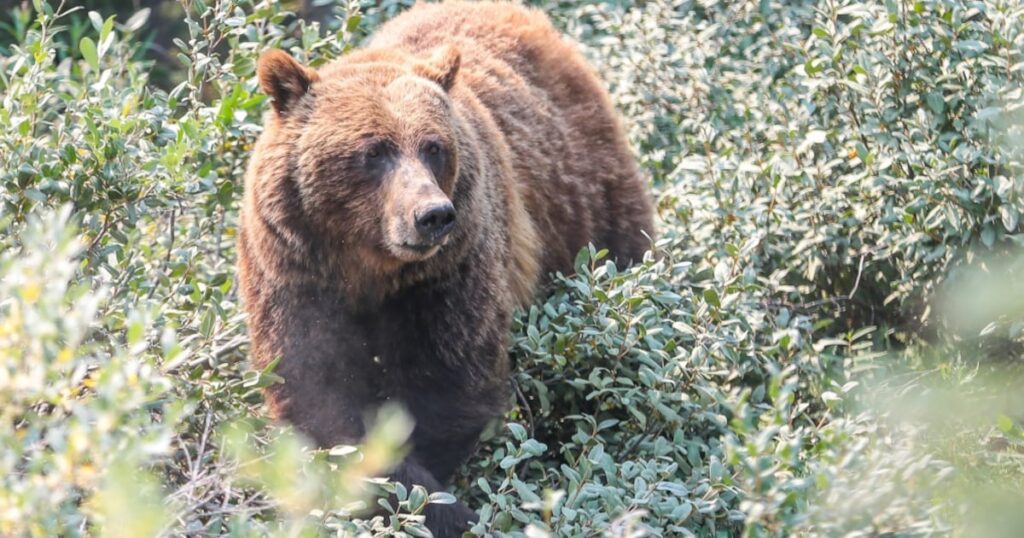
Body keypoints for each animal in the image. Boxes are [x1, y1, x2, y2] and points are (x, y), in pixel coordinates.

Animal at [236, 1, 654, 535]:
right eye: (374, 151)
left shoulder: (447, 277)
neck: (369, 267)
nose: (433, 214)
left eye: (433, 146)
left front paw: (445, 505)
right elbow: (315, 389)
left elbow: (451, 385)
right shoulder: (294, 273)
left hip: (587, 199)